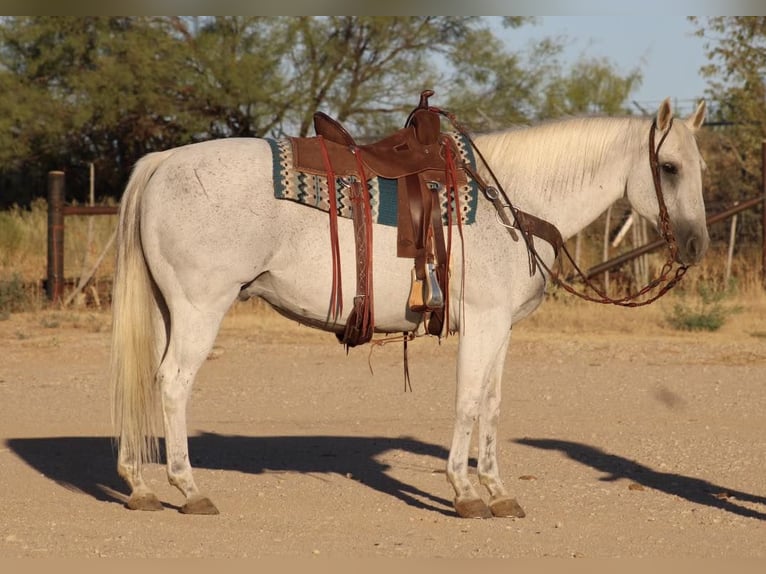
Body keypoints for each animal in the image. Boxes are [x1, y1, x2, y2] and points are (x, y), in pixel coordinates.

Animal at [111, 99, 712, 520]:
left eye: (700, 166)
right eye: (669, 166)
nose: (696, 245)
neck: (512, 202)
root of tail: (164, 161)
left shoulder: (502, 329)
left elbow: (492, 406)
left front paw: (499, 493)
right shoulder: (483, 322)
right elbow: (467, 403)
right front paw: (465, 494)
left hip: (168, 309)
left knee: (144, 380)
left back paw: (140, 486)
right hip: (199, 308)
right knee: (173, 383)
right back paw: (189, 490)